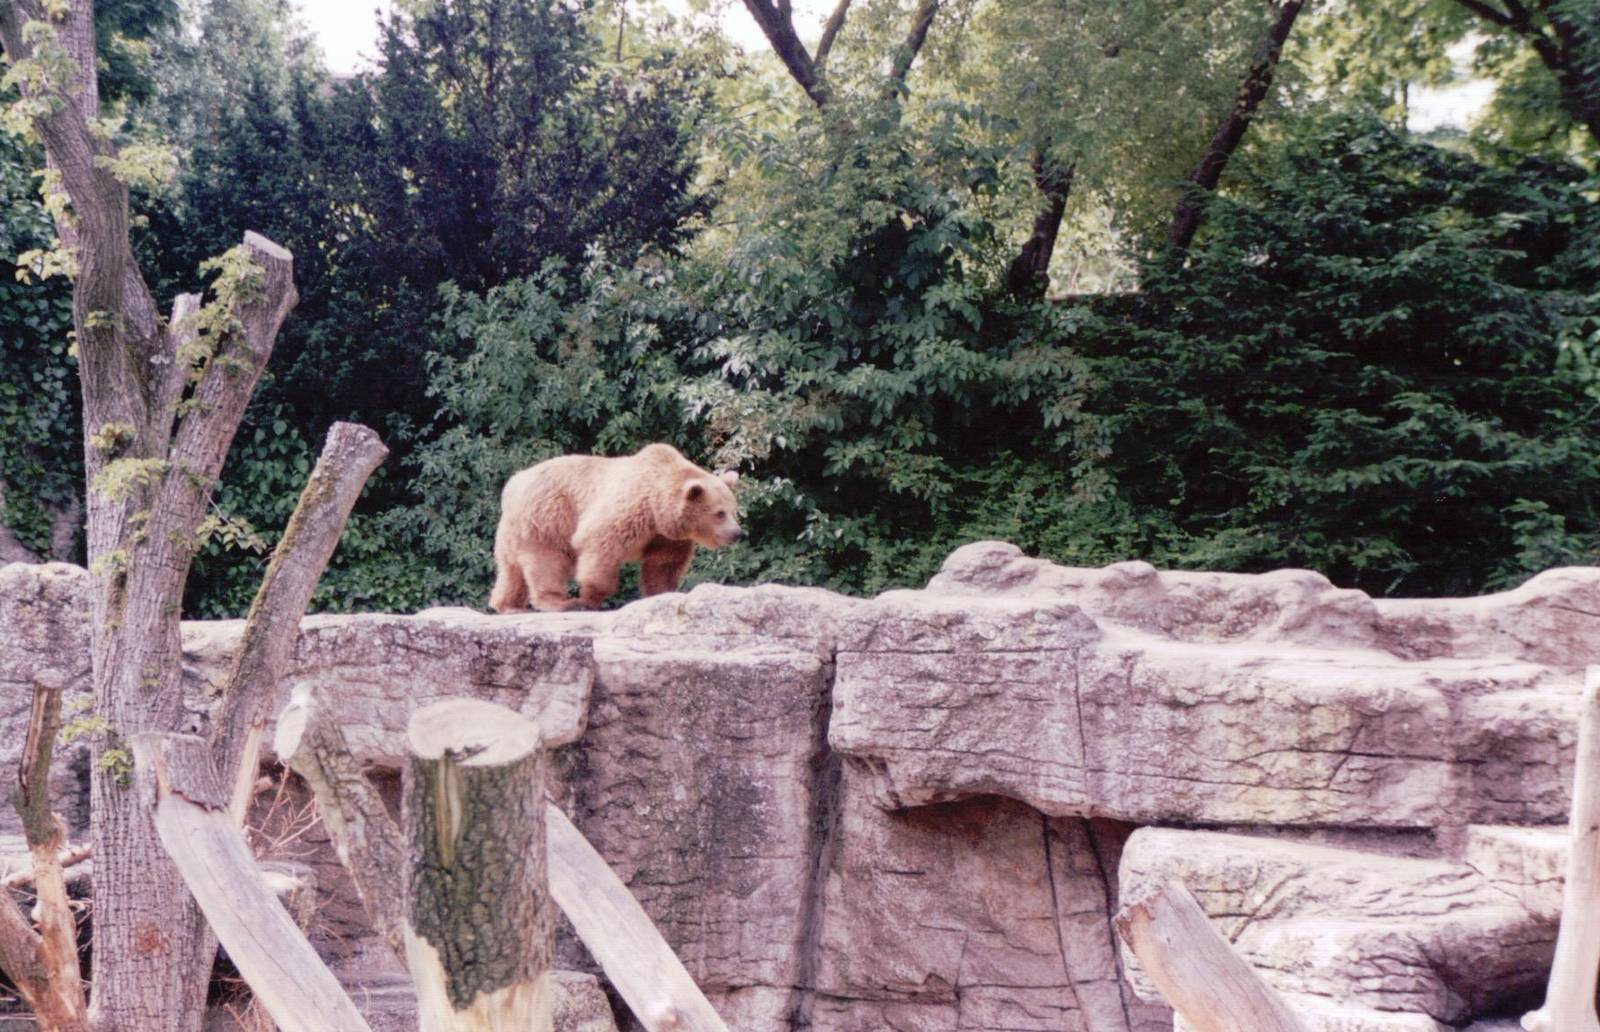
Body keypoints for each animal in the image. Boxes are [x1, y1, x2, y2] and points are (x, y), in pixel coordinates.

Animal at [489, 443, 743, 613]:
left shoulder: (666, 536)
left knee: (511, 570)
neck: (657, 509)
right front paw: (590, 598)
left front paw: (662, 593)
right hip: (548, 517)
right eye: (719, 513)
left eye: (734, 510)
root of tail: (513, 483)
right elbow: (601, 543)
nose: (737, 533)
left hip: (514, 531)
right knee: (547, 561)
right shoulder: (630, 508)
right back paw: (559, 602)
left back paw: (508, 605)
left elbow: (663, 564)